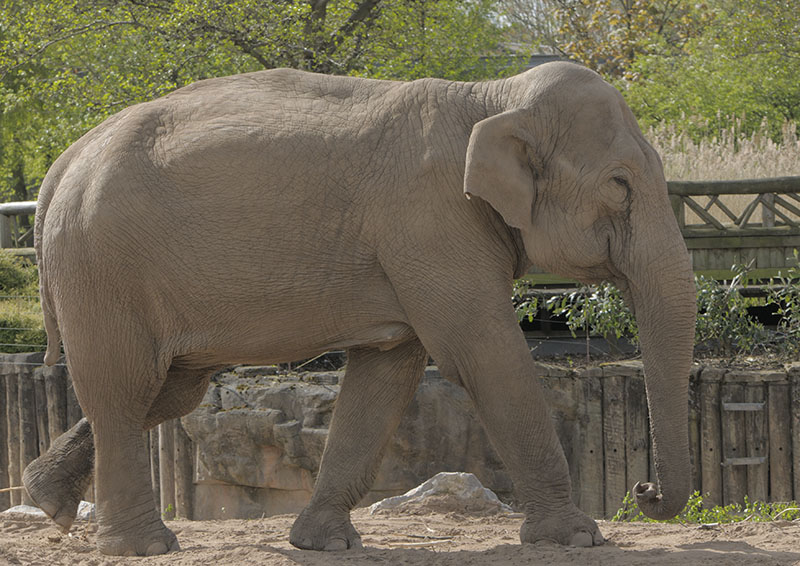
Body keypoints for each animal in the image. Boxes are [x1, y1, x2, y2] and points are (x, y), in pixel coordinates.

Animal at [24, 61, 696, 556]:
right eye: (620, 184)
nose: (643, 488)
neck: (491, 98)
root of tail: (63, 163)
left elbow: (388, 371)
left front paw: (322, 543)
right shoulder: (431, 223)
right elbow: (484, 354)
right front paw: (577, 537)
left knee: (166, 389)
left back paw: (49, 501)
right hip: (103, 268)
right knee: (125, 387)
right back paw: (141, 547)